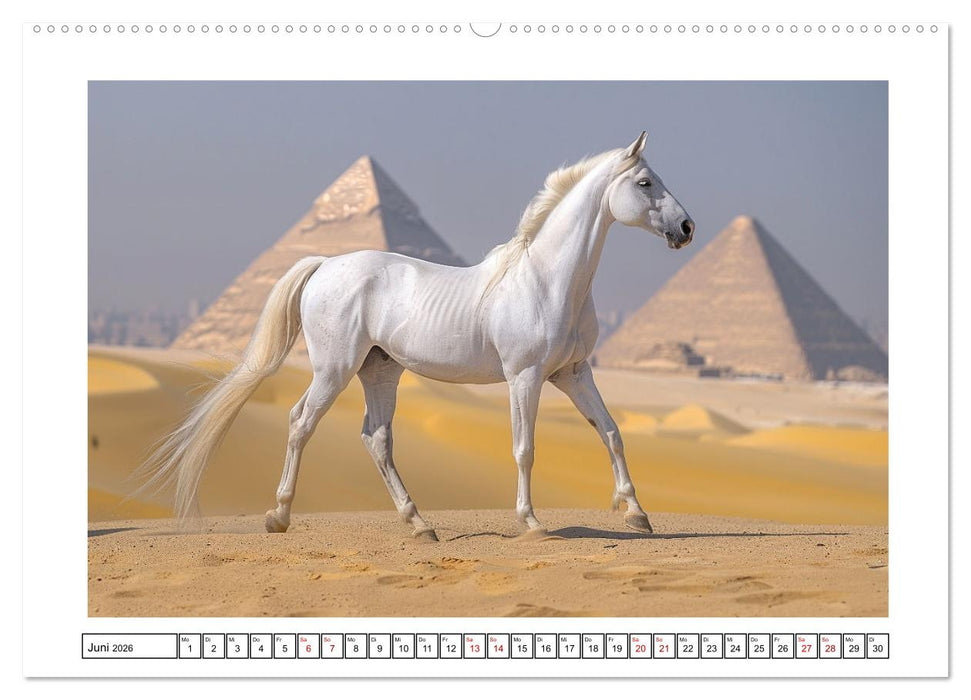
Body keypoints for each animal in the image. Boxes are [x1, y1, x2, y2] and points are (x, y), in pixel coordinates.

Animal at [140, 131, 694, 541]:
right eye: (645, 182)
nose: (687, 228)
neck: (548, 279)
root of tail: (324, 265)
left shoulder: (573, 373)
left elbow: (612, 432)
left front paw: (636, 514)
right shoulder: (525, 376)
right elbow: (525, 447)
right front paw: (532, 522)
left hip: (379, 371)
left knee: (376, 440)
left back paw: (420, 524)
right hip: (334, 369)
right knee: (301, 423)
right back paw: (278, 517)